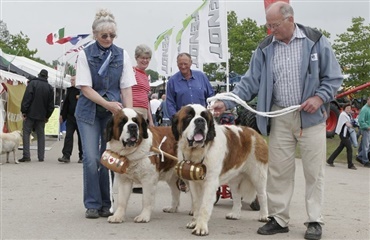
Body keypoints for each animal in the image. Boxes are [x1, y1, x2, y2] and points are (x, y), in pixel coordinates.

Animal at [172, 104, 268, 236]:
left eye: (205, 118)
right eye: (189, 117)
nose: (200, 121)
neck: (198, 152)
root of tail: (256, 133)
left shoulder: (211, 182)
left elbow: (205, 205)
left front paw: (200, 227)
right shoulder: (194, 183)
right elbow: (196, 203)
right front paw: (194, 222)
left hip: (258, 175)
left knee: (262, 195)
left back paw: (264, 216)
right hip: (234, 178)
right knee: (236, 196)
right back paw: (235, 214)